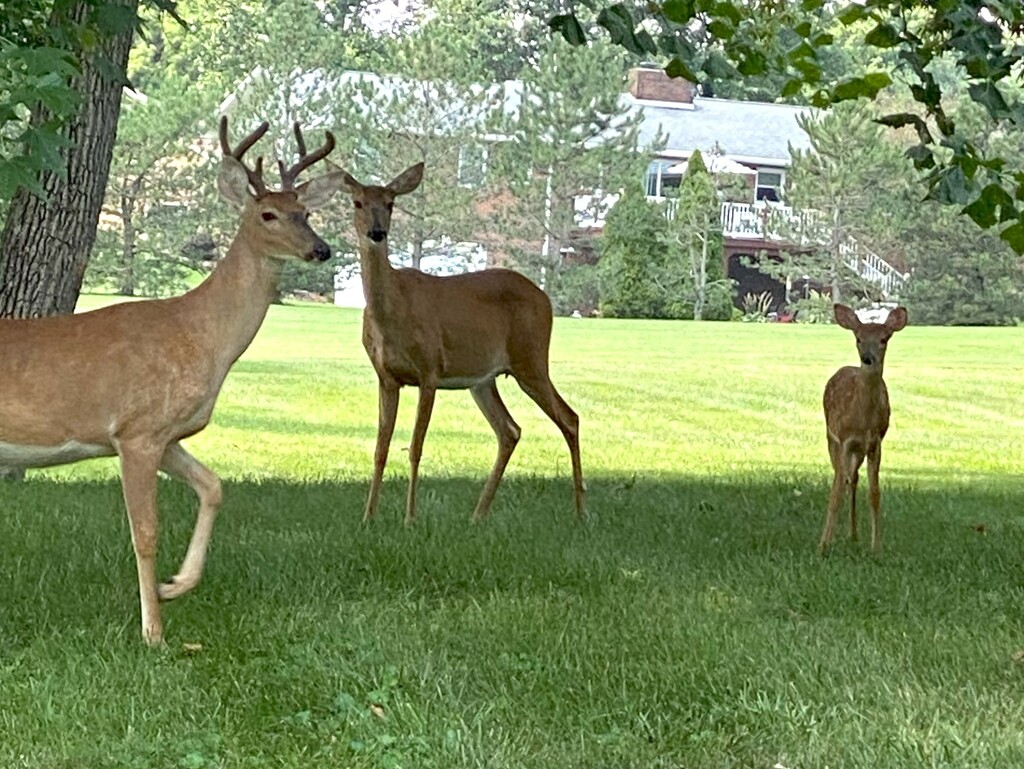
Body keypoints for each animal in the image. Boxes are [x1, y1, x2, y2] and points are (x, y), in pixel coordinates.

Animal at [0, 117, 344, 643]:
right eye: (268, 214)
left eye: (305, 212)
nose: (320, 250)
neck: (200, 336)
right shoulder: (135, 431)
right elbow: (145, 532)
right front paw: (154, 632)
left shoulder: (167, 435)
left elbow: (214, 486)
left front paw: (174, 586)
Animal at [335, 161, 585, 524]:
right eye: (358, 203)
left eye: (391, 203)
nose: (377, 232)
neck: (391, 314)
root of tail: (545, 298)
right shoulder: (386, 377)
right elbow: (381, 448)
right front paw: (368, 518)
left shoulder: (429, 371)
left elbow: (415, 447)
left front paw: (410, 519)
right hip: (483, 380)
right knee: (509, 430)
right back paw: (477, 515)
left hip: (532, 358)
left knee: (569, 418)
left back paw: (581, 511)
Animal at [819, 303, 909, 552]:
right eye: (858, 338)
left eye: (884, 339)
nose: (867, 358)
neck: (863, 419)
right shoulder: (844, 440)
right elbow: (836, 490)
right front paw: (823, 545)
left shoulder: (875, 443)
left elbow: (874, 492)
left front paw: (876, 547)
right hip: (830, 438)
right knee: (843, 477)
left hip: (859, 450)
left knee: (854, 478)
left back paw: (853, 535)